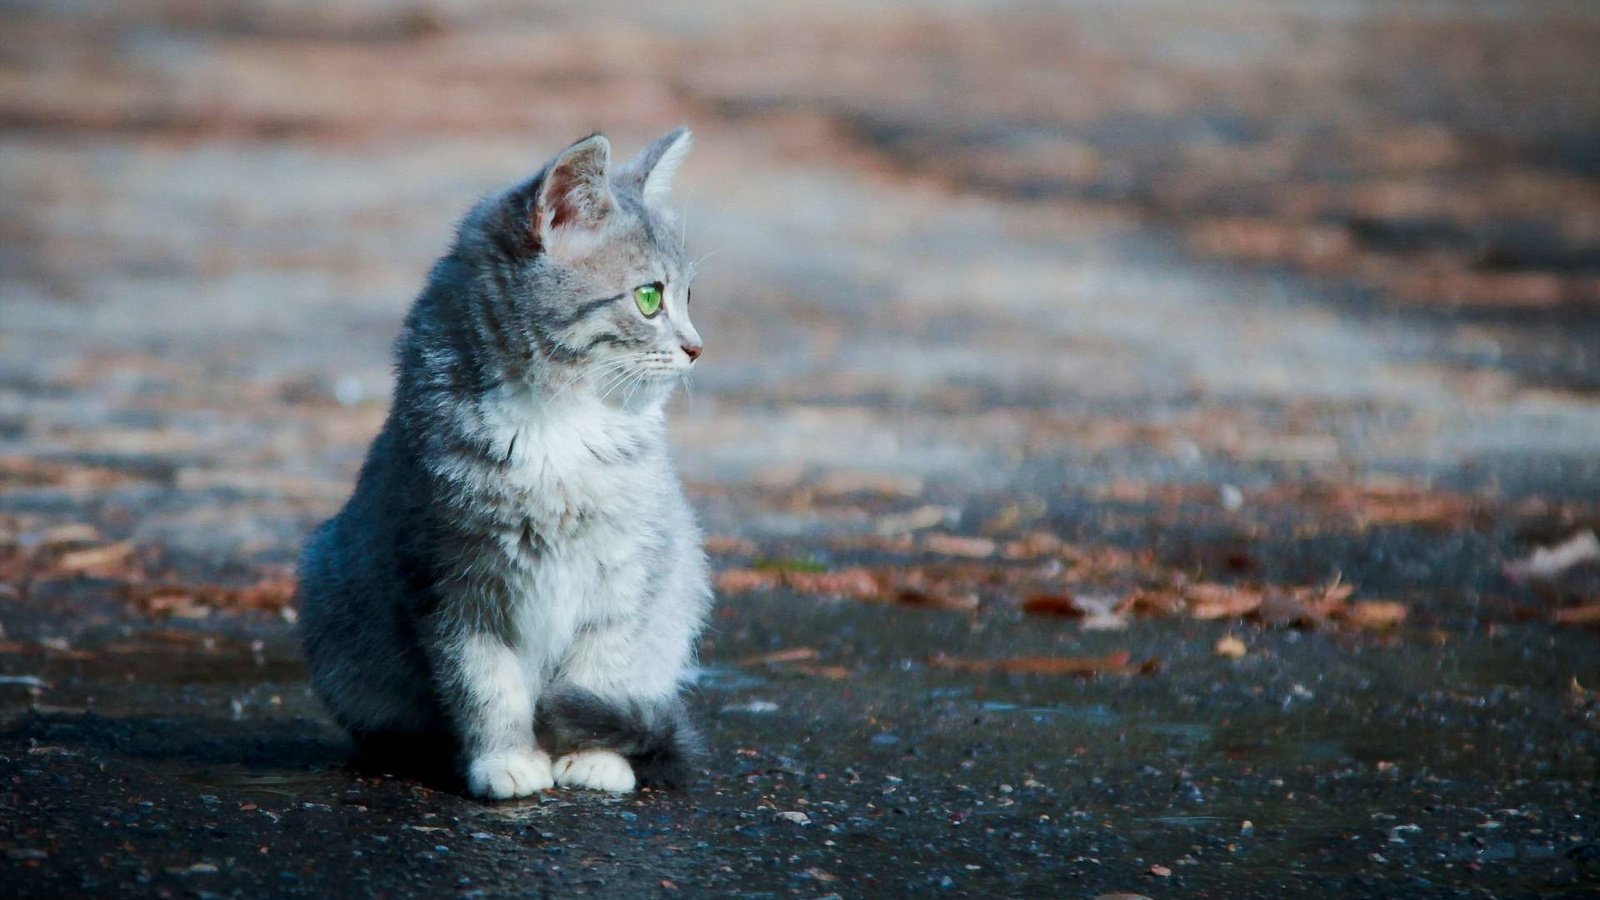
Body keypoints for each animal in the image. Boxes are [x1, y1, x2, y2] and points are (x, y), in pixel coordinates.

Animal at [297, 129, 710, 794]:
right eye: (649, 297)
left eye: (689, 296)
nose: (697, 347)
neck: (560, 425)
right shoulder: (449, 582)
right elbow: (484, 684)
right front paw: (505, 759)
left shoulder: (630, 571)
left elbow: (602, 670)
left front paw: (594, 755)